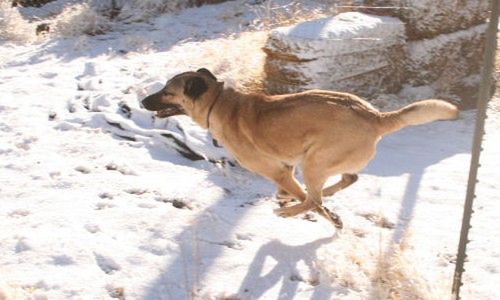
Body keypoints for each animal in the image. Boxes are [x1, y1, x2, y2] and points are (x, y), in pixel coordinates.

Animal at [143, 67, 458, 227]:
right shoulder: (286, 168)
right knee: (346, 179)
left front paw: (329, 218)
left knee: (314, 199)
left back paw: (292, 211)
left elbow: (308, 201)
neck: (220, 102)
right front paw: (286, 200)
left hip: (314, 162)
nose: (143, 101)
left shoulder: (280, 171)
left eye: (167, 92)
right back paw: (319, 195)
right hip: (318, 163)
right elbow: (290, 193)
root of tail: (375, 116)